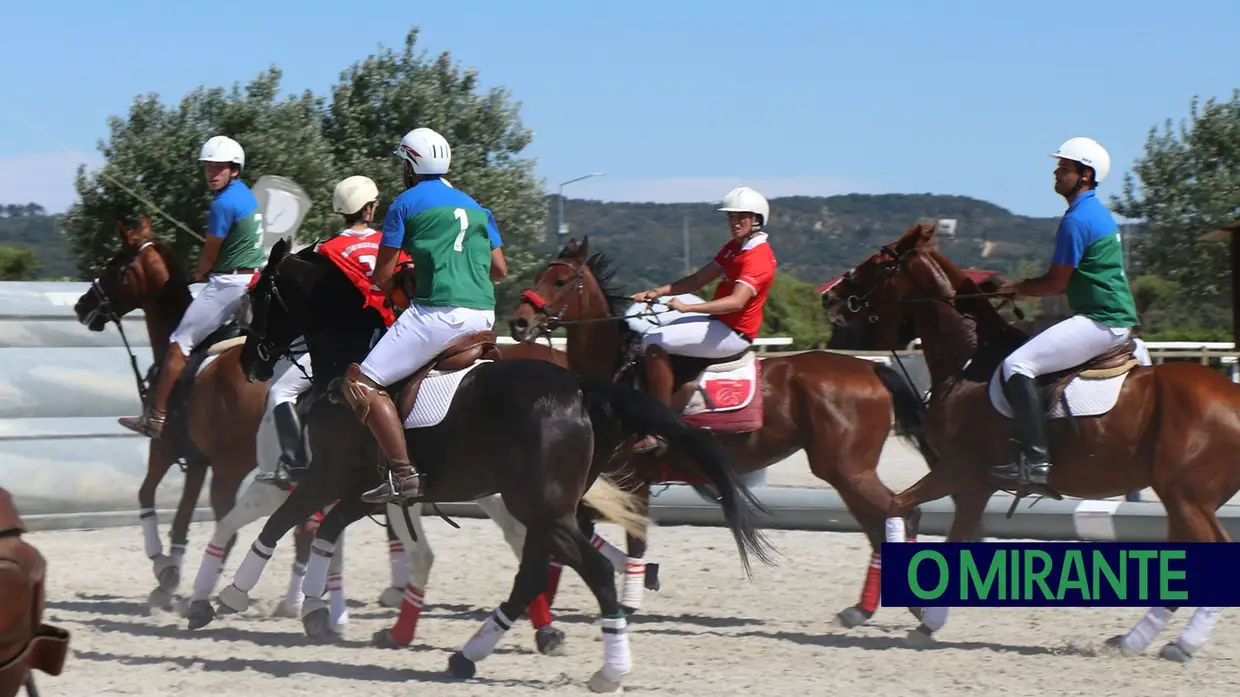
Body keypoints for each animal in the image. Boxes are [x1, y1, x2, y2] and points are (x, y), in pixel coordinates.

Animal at [71, 215, 319, 607]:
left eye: (115, 264)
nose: (82, 306)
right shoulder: (198, 460)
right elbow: (182, 517)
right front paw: (170, 575)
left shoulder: (165, 449)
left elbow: (146, 494)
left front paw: (162, 567)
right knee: (301, 526)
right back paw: (293, 601)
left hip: (230, 468)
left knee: (233, 529)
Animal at [505, 236, 937, 625]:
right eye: (540, 274)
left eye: (560, 280)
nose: (519, 322)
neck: (615, 374)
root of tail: (870, 368)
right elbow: (570, 532)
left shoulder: (633, 480)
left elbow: (632, 540)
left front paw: (625, 600)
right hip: (845, 473)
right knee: (880, 526)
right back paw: (863, 609)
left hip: (849, 470)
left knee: (902, 514)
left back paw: (914, 607)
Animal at [823, 219, 1240, 659]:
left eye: (878, 262)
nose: (828, 296)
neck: (969, 358)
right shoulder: (976, 485)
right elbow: (949, 533)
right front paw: (926, 620)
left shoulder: (959, 471)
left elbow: (899, 508)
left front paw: (918, 614)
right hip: (1184, 496)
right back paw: (1132, 640)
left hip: (1186, 494)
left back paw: (1185, 643)